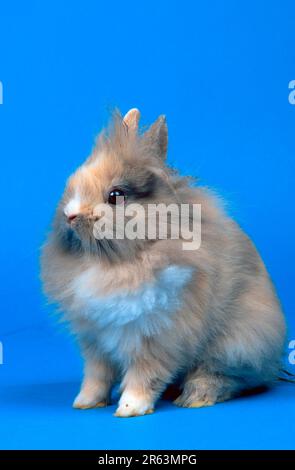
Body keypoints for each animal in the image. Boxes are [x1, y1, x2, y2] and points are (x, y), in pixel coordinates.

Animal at [40, 108, 288, 416]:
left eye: (115, 196)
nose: (70, 215)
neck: (113, 264)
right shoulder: (95, 341)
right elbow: (96, 376)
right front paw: (85, 402)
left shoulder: (157, 335)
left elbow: (145, 375)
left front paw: (130, 408)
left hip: (238, 343)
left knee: (227, 377)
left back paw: (194, 397)